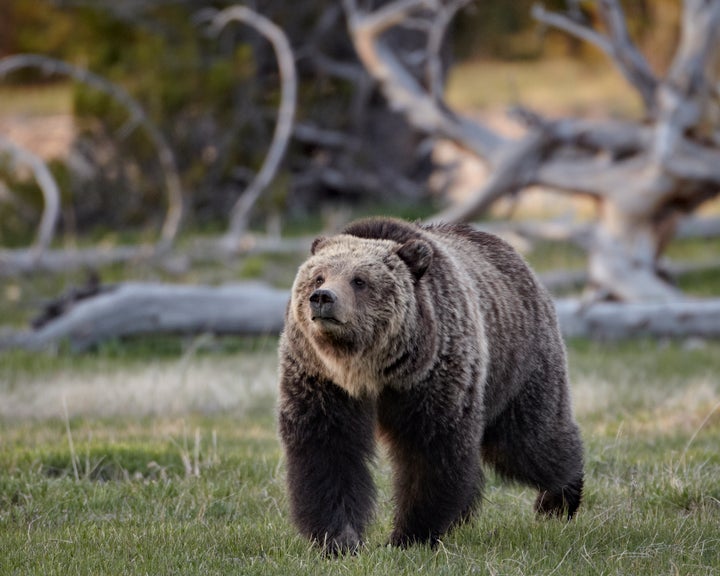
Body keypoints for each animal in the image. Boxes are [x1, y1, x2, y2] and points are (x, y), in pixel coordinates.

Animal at [276, 217, 584, 552]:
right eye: (318, 275)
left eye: (359, 280)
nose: (322, 297)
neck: (367, 369)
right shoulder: (321, 380)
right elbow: (328, 449)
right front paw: (339, 539)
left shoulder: (431, 376)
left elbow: (430, 449)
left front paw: (409, 536)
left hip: (518, 364)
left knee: (528, 441)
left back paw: (558, 498)